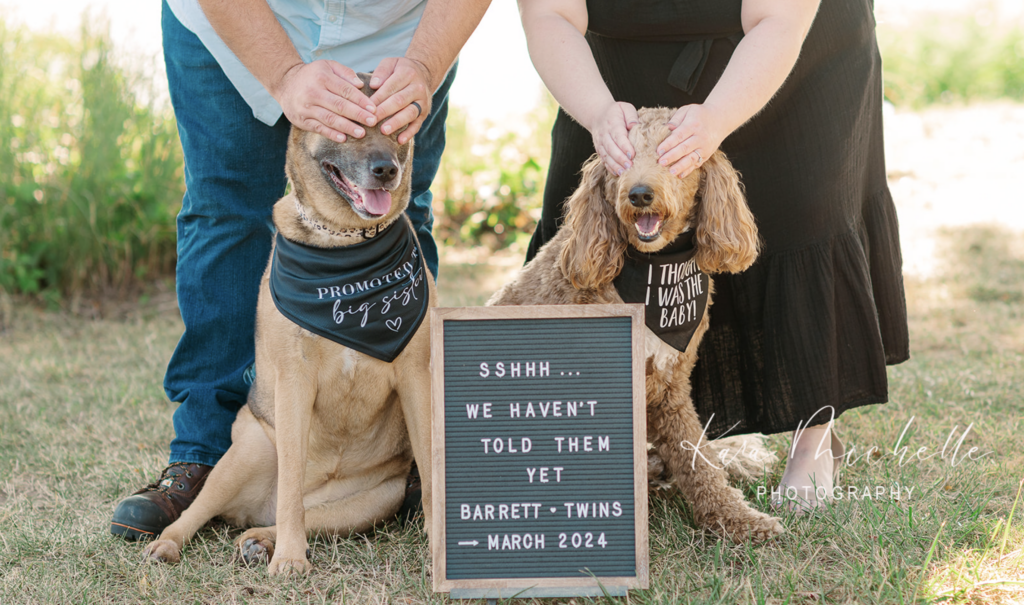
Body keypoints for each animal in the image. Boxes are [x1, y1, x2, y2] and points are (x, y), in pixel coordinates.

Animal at [143, 76, 432, 577]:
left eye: (397, 125)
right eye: (352, 123)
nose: (386, 170)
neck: (344, 247)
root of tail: (251, 510)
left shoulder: (417, 377)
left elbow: (435, 476)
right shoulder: (295, 380)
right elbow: (291, 483)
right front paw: (291, 560)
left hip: (371, 501)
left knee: (291, 516)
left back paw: (260, 540)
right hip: (248, 452)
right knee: (209, 509)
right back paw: (171, 542)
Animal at [487, 106, 782, 540]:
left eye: (669, 154)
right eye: (623, 159)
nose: (640, 194)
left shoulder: (671, 387)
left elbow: (697, 459)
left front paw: (736, 519)